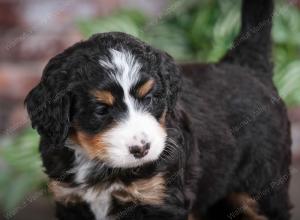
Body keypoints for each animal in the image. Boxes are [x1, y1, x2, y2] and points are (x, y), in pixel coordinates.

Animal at [24, 0, 292, 219]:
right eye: (101, 110)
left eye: (150, 98)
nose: (141, 149)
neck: (99, 164)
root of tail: (245, 65)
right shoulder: (70, 199)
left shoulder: (157, 200)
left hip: (265, 185)